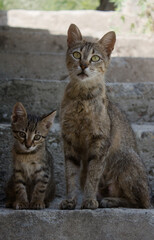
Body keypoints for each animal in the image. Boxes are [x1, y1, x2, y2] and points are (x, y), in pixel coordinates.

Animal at [59, 23, 150, 209]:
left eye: (95, 58)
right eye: (76, 54)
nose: (83, 65)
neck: (82, 97)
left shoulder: (100, 142)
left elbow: (93, 175)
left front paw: (88, 200)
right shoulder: (69, 140)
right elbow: (70, 176)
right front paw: (70, 200)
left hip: (125, 158)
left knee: (142, 202)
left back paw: (109, 200)